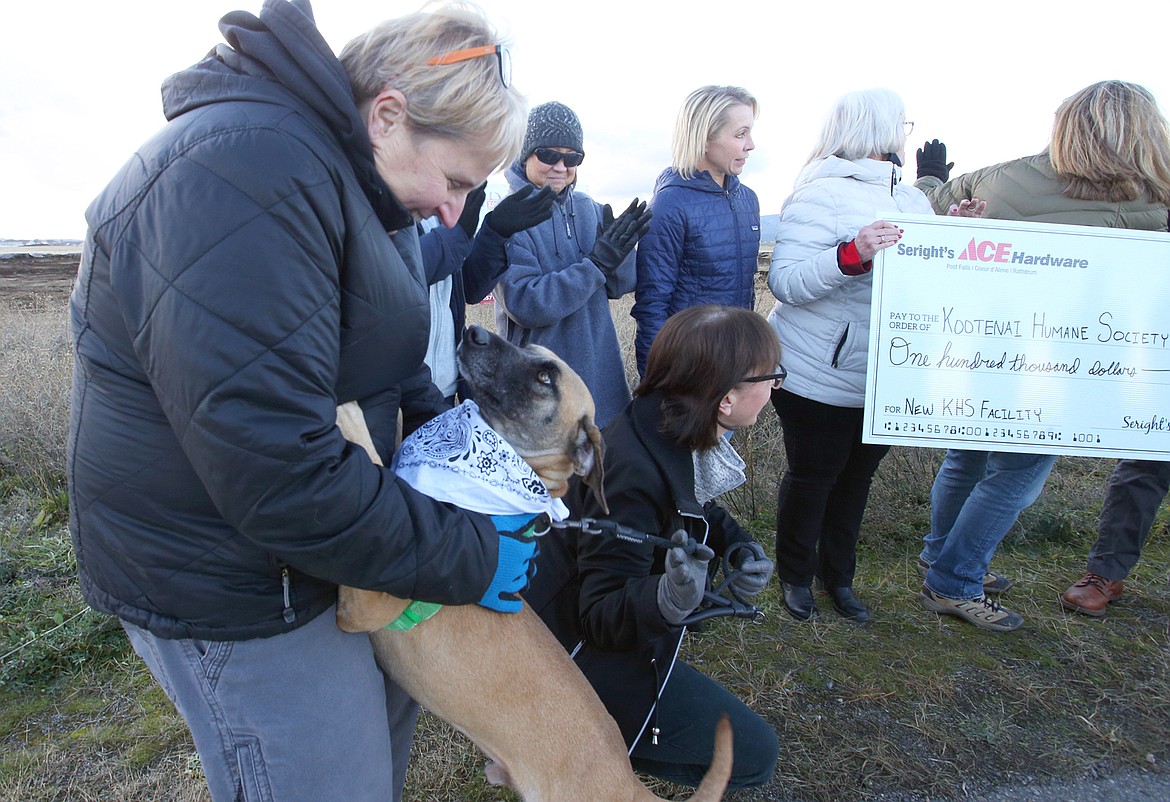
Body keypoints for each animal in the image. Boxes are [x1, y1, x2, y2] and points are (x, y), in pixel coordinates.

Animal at [334, 325, 725, 800]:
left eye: (545, 377)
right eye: (529, 349)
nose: (474, 332)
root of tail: (629, 781)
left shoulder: (366, 605)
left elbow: (371, 460)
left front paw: (346, 413)